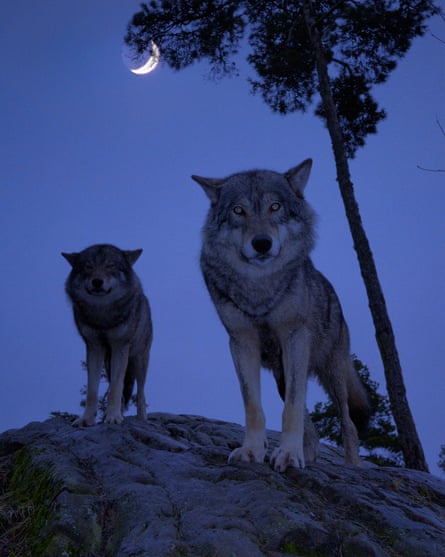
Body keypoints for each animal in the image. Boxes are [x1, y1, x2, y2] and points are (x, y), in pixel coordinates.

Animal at [61, 243, 153, 426]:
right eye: (88, 267)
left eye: (110, 266)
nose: (97, 281)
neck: (102, 314)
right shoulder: (94, 348)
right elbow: (92, 390)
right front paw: (87, 419)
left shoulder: (120, 347)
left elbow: (116, 389)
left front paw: (113, 417)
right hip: (108, 362)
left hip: (139, 360)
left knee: (140, 395)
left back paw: (142, 419)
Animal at [193, 159, 370, 472]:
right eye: (239, 210)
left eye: (275, 207)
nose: (262, 243)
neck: (259, 287)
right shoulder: (241, 342)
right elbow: (254, 406)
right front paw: (252, 450)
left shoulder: (294, 338)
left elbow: (292, 408)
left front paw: (288, 454)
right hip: (281, 376)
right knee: (312, 425)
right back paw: (308, 453)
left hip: (333, 374)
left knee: (348, 423)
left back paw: (352, 466)